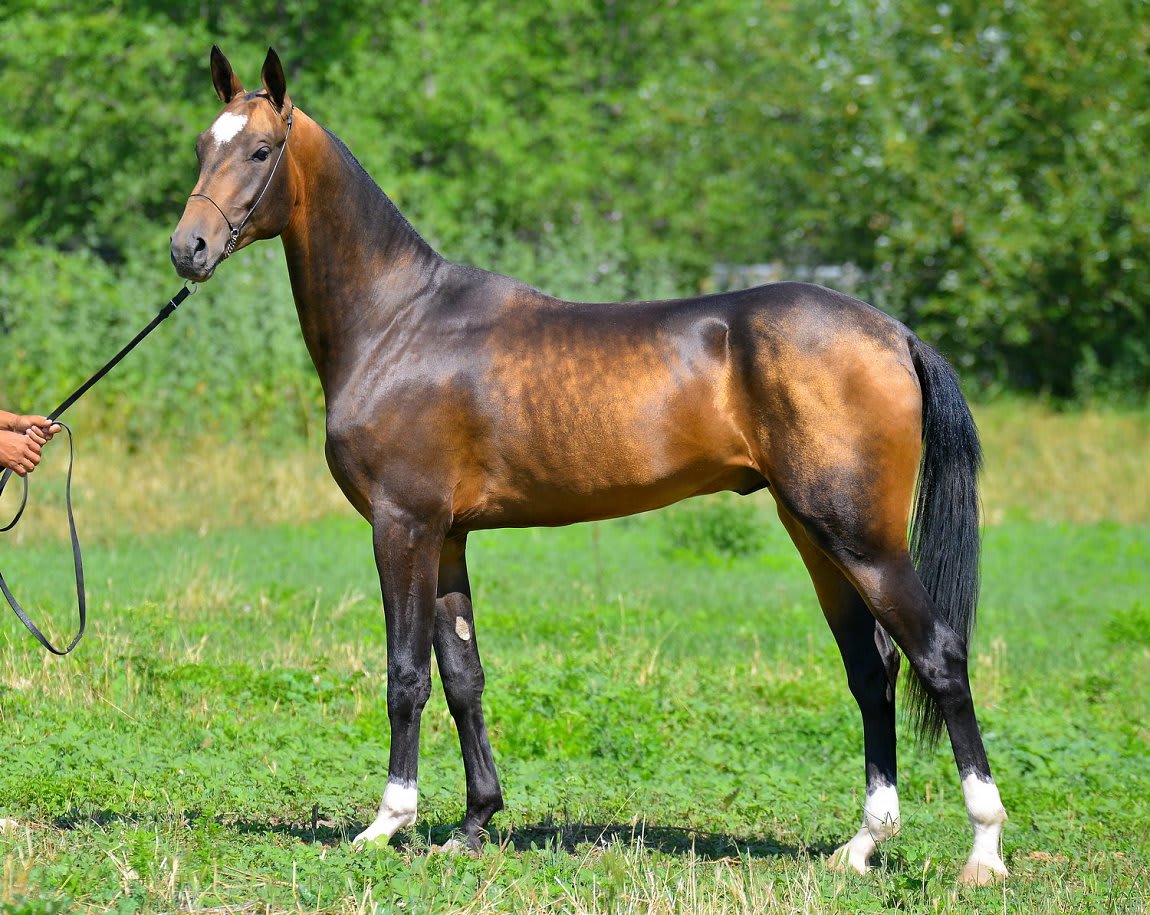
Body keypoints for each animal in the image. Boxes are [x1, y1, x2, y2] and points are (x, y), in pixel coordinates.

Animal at [170, 47, 1008, 885]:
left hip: (861, 538)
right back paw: (863, 844)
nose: (189, 249)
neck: (399, 321)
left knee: (938, 656)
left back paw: (984, 851)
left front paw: (387, 822)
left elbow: (405, 674)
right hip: (816, 534)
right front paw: (473, 823)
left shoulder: (401, 525)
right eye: (203, 145)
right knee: (872, 670)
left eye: (261, 150)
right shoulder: (447, 536)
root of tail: (893, 332)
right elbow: (463, 676)